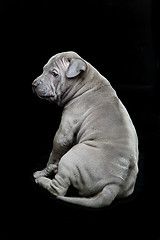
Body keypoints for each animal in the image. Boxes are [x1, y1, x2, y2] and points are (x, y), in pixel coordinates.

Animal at [31, 51, 138, 208]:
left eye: (54, 74)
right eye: (43, 69)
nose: (34, 84)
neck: (87, 83)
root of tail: (115, 184)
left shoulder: (63, 134)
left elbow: (53, 156)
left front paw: (42, 173)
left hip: (71, 158)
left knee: (58, 189)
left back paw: (42, 181)